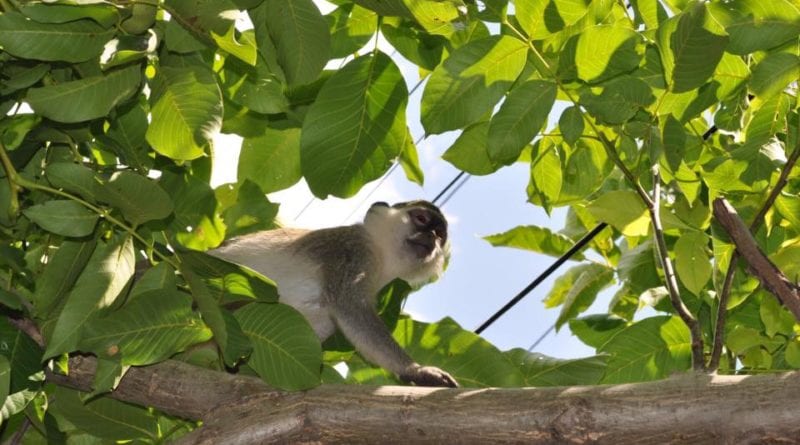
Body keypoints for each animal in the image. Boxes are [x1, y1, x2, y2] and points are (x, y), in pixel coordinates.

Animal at [209, 199, 460, 386]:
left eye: (439, 234)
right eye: (421, 219)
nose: (432, 238)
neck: (379, 253)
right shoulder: (352, 251)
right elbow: (348, 305)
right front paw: (415, 370)